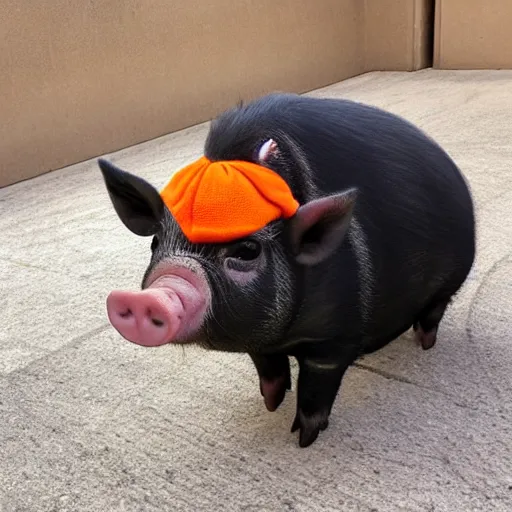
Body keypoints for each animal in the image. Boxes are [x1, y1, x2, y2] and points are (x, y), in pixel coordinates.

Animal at [97, 93, 476, 448]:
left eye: (247, 251)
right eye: (155, 242)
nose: (151, 296)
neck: (289, 337)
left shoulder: (334, 342)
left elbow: (316, 388)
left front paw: (304, 439)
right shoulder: (259, 341)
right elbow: (269, 369)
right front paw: (270, 404)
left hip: (451, 281)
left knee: (434, 310)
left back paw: (424, 343)